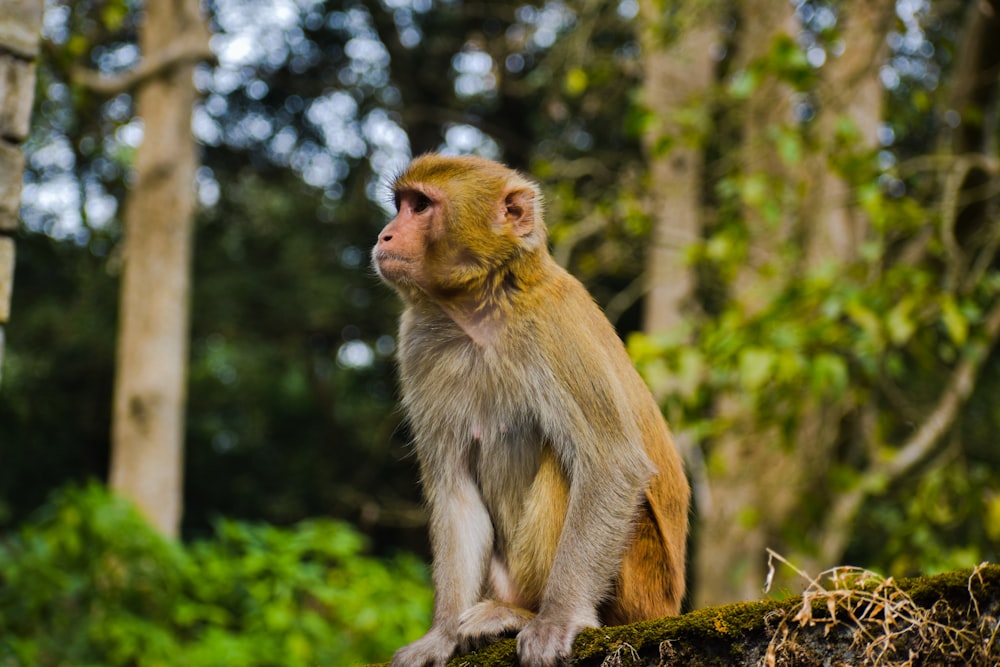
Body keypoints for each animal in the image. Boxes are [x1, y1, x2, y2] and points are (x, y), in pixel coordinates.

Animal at [372, 155, 692, 667]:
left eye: (420, 206)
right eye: (400, 204)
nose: (384, 235)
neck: (481, 307)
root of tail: (668, 607)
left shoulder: (554, 322)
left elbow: (611, 462)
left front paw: (558, 620)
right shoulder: (417, 340)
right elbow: (454, 489)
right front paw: (440, 635)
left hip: (639, 584)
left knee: (564, 462)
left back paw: (522, 615)